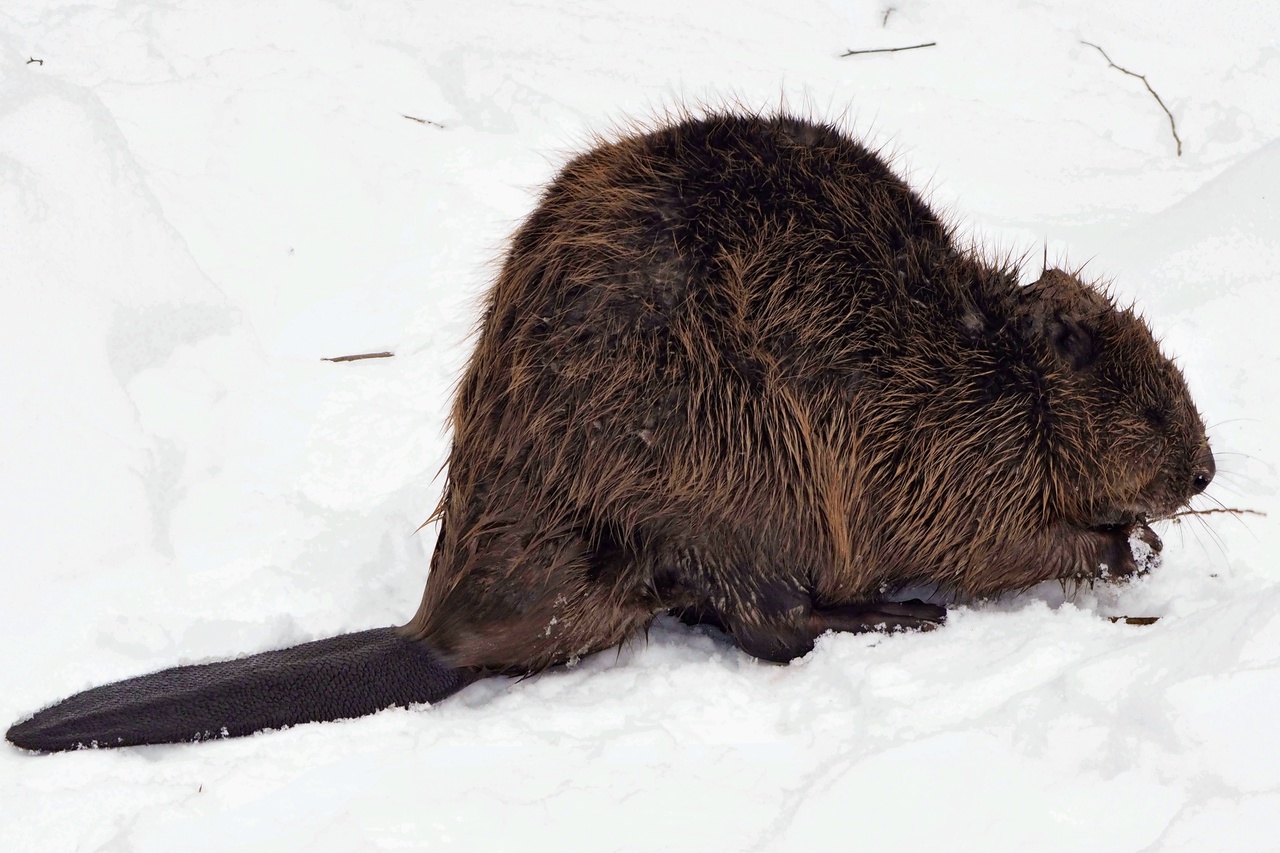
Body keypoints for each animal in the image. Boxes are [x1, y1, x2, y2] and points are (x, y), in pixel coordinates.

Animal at [5, 108, 1213, 753]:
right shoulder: (938, 448)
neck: (982, 366)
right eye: (1152, 403)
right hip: (733, 480)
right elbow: (991, 537)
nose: (1205, 468)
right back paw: (895, 616)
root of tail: (440, 632)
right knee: (765, 621)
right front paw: (1125, 545)